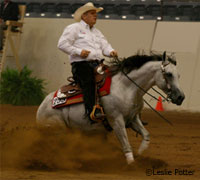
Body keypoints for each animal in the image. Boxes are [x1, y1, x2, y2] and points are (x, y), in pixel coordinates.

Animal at [36, 51, 184, 165]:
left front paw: (140, 154)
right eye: (169, 74)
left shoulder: (133, 119)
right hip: (57, 129)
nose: (181, 97)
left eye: (179, 75)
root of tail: (42, 106)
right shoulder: (117, 121)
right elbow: (126, 144)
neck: (126, 88)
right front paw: (132, 165)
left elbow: (146, 135)